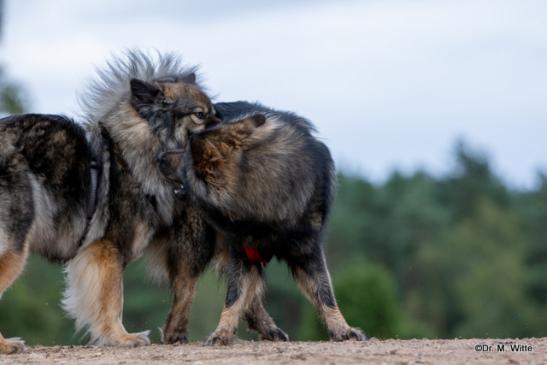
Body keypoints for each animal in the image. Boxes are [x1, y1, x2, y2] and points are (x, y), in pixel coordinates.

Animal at [159, 101, 364, 342]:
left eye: (185, 154)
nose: (159, 157)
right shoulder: (241, 251)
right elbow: (234, 295)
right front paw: (222, 331)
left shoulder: (307, 250)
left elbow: (325, 293)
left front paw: (343, 329)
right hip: (199, 246)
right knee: (186, 288)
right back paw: (175, 332)